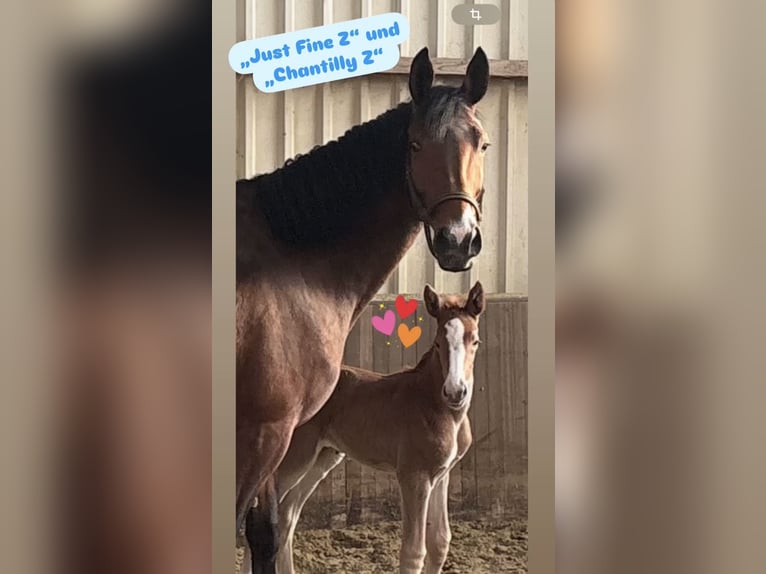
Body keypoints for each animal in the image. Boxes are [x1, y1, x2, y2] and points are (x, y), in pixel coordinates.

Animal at [274, 282, 485, 574]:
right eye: (437, 343)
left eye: (475, 341)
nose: (455, 392)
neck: (436, 406)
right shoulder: (413, 476)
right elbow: (413, 552)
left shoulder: (442, 474)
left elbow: (440, 542)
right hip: (295, 458)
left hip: (322, 459)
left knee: (286, 515)